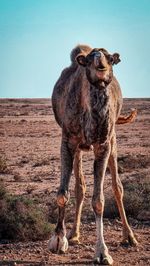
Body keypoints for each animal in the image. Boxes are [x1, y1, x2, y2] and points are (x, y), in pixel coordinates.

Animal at [48, 44, 138, 264]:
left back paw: (129, 237)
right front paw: (58, 239)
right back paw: (74, 234)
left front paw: (102, 252)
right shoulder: (68, 140)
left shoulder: (103, 145)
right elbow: (63, 193)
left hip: (113, 140)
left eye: (110, 59)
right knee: (80, 186)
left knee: (117, 187)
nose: (101, 65)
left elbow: (99, 200)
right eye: (89, 59)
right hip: (80, 148)